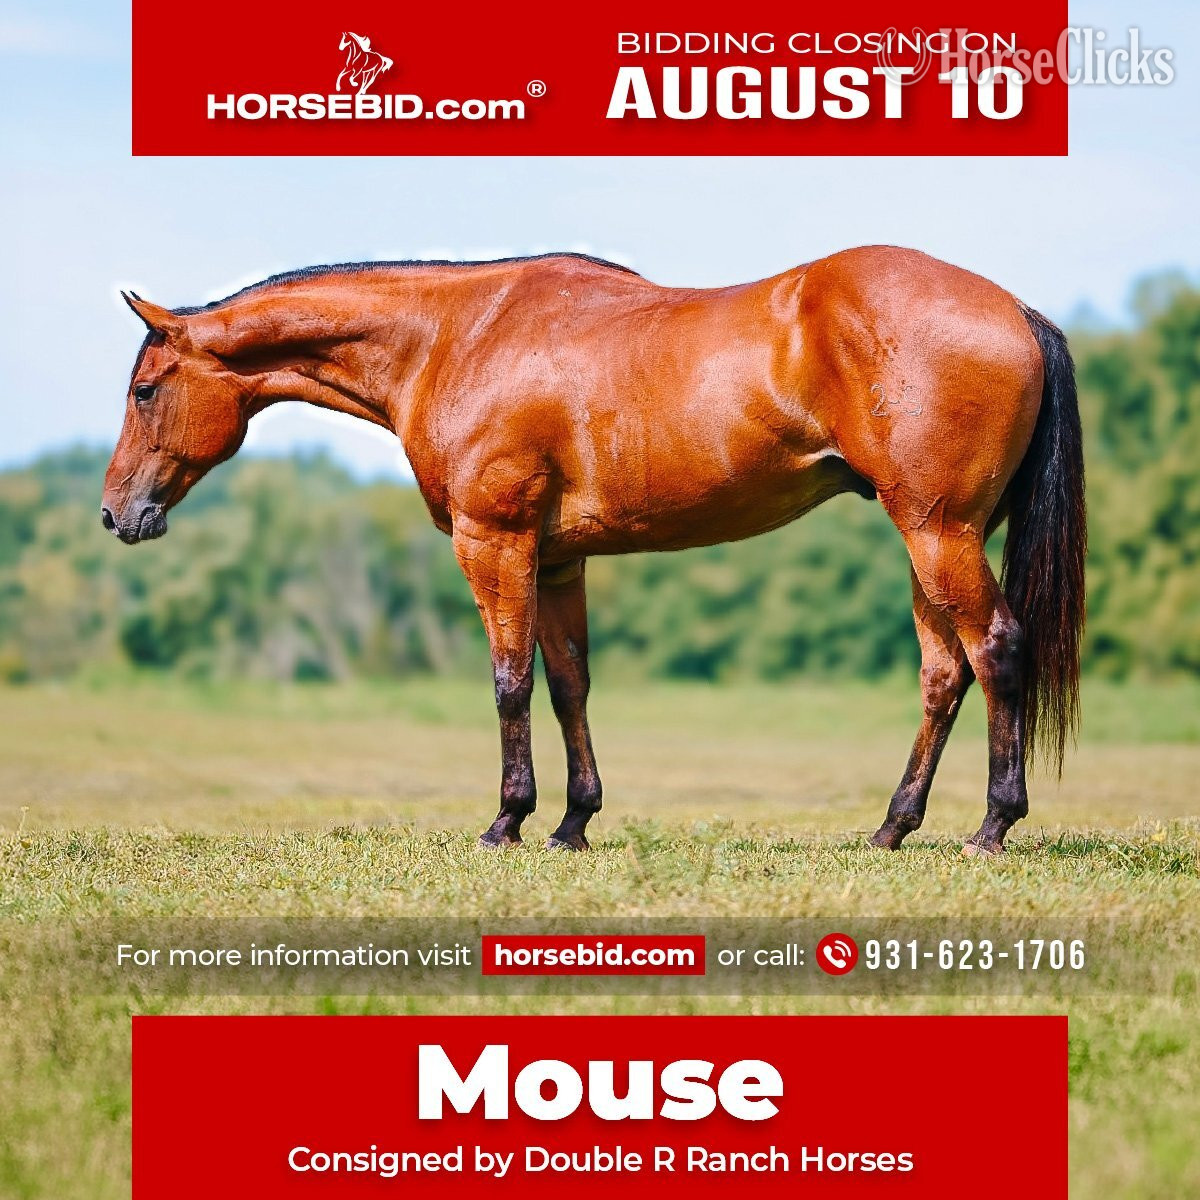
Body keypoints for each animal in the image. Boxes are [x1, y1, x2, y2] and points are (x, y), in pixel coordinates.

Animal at [103, 247, 1085, 856]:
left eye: (146, 389)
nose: (117, 514)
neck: (456, 336)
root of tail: (1015, 308)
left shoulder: (493, 541)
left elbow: (509, 680)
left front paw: (507, 821)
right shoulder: (557, 558)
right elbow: (568, 681)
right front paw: (573, 822)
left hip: (939, 531)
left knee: (997, 649)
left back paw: (992, 826)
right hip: (929, 537)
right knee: (944, 673)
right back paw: (892, 827)